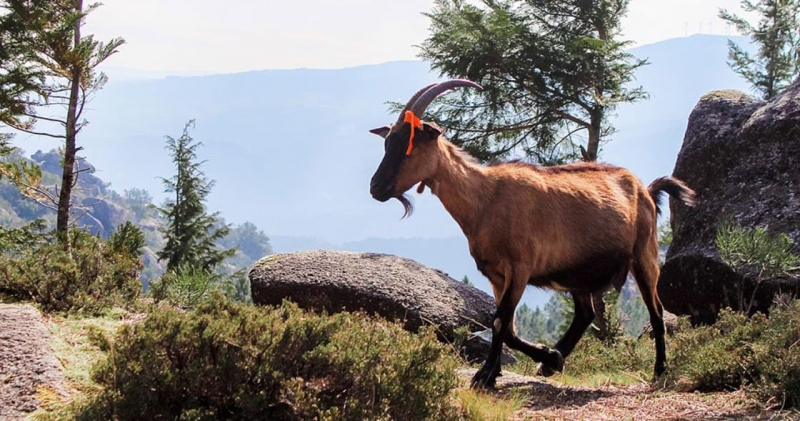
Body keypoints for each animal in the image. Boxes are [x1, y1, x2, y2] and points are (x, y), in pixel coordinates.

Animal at [368, 79, 692, 388]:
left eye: (410, 144)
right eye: (387, 143)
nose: (376, 188)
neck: (486, 199)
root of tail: (645, 189)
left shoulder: (520, 268)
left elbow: (500, 322)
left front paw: (485, 375)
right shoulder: (496, 275)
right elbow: (507, 327)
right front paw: (536, 360)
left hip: (643, 256)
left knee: (656, 312)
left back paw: (660, 371)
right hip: (577, 273)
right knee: (585, 313)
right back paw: (552, 362)